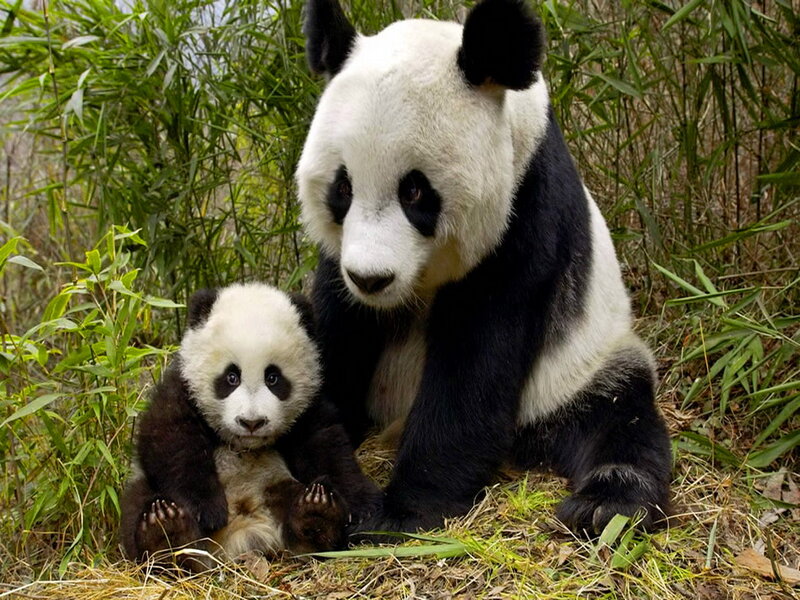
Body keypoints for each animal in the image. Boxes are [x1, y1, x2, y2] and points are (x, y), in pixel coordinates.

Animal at [120, 283, 379, 568]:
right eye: (231, 377)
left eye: (273, 378)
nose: (252, 422)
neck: (244, 446)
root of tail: (242, 534)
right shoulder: (182, 388)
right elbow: (170, 439)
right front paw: (206, 510)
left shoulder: (309, 405)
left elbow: (326, 445)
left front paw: (362, 505)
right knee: (138, 503)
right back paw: (166, 532)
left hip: (274, 484)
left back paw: (317, 513)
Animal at [296, 0, 672, 536]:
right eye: (342, 188)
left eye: (415, 191)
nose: (372, 279)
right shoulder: (341, 263)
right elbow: (339, 330)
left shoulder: (525, 214)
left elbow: (476, 362)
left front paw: (398, 512)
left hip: (582, 366)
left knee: (620, 418)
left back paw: (606, 504)